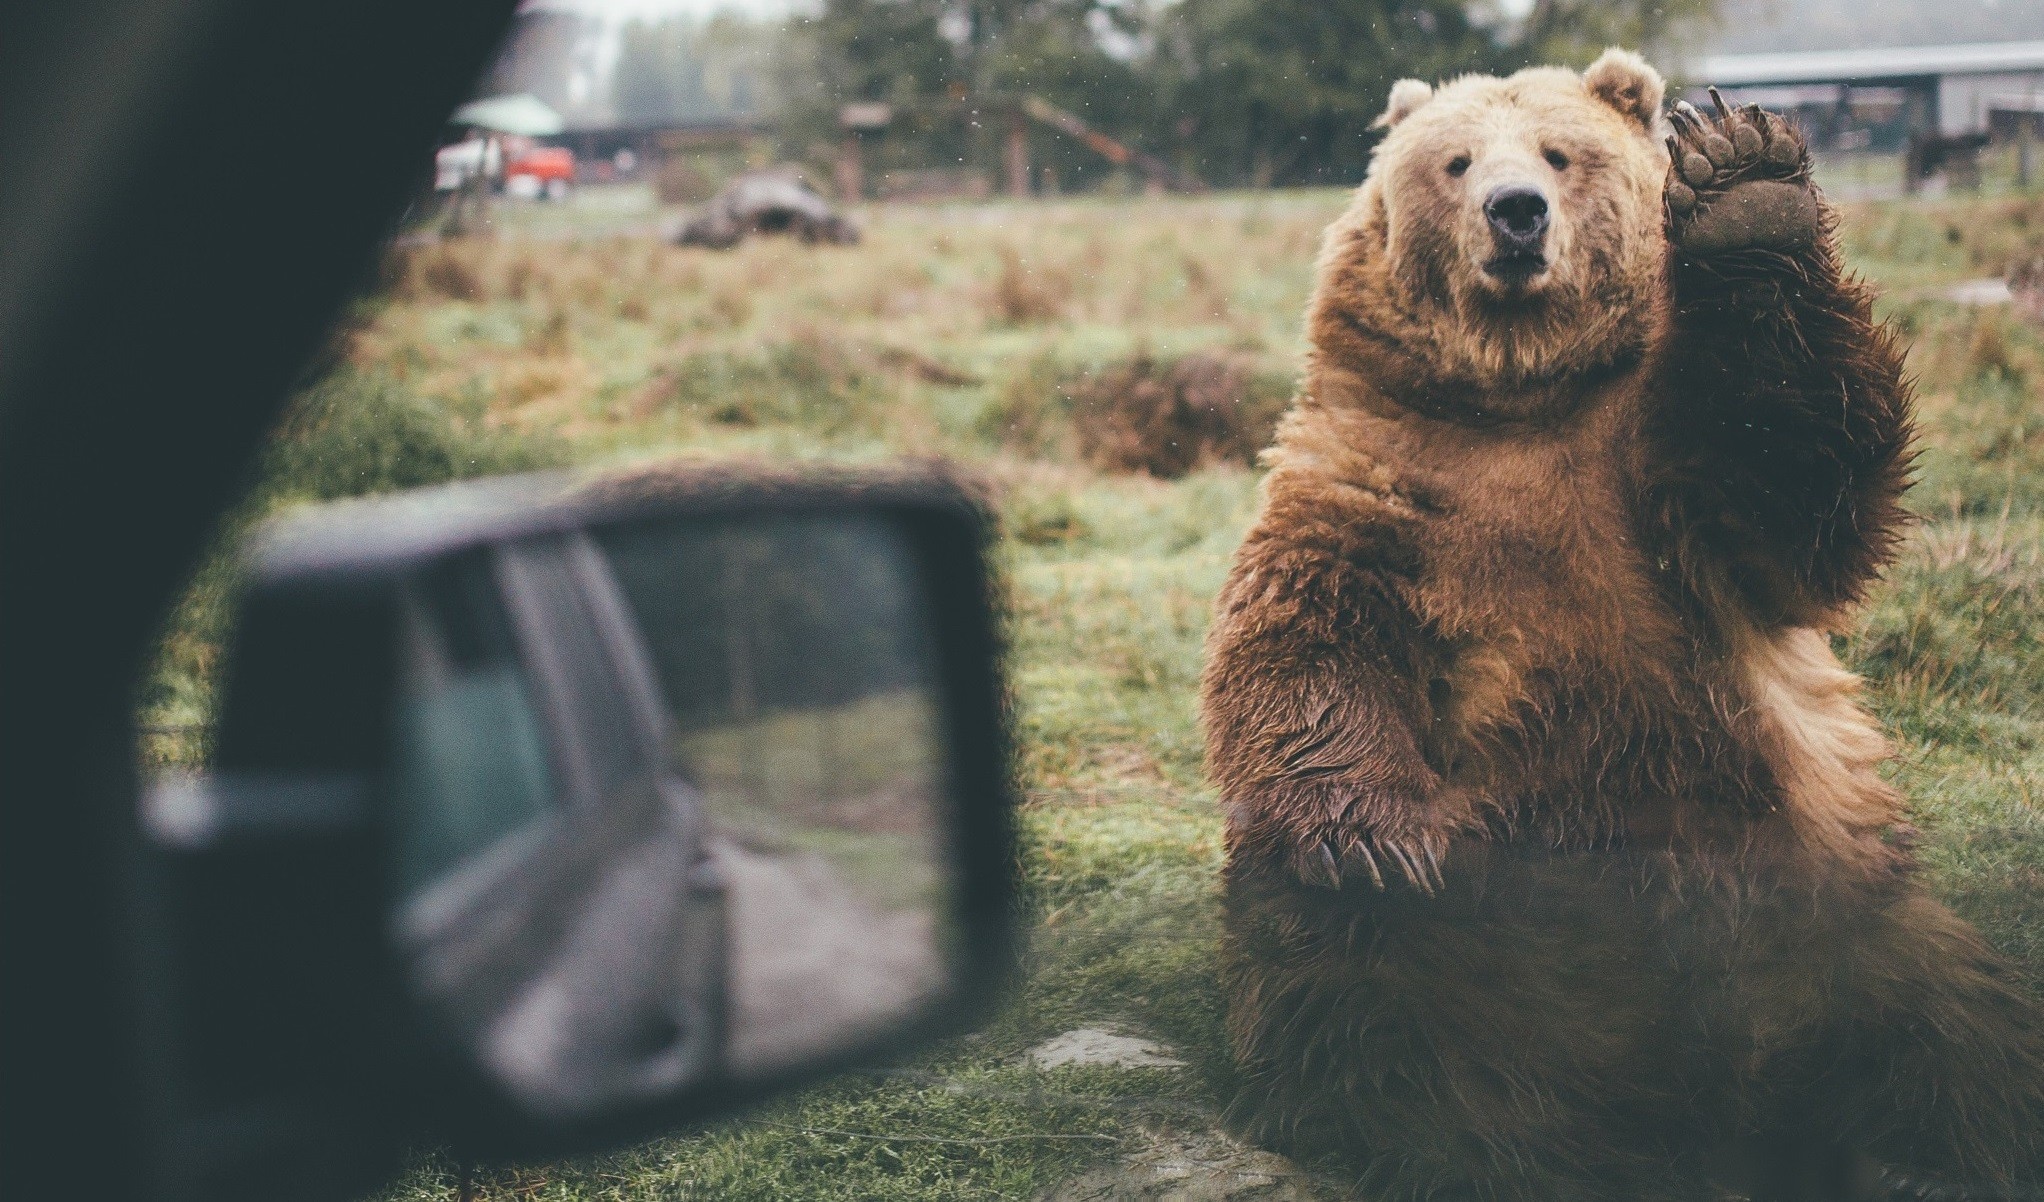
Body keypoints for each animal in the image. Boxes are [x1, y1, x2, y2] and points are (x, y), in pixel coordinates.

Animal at [1199, 49, 2044, 1200]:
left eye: (1561, 152)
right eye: (1455, 161)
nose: (1515, 212)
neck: (1519, 395)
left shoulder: (1661, 488)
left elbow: (1789, 477)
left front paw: (1745, 185)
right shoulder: (1378, 480)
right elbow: (1307, 639)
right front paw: (1373, 839)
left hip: (1853, 913)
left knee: (1955, 1038)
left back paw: (1924, 1158)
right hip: (1487, 933)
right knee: (1367, 998)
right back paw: (1463, 1139)